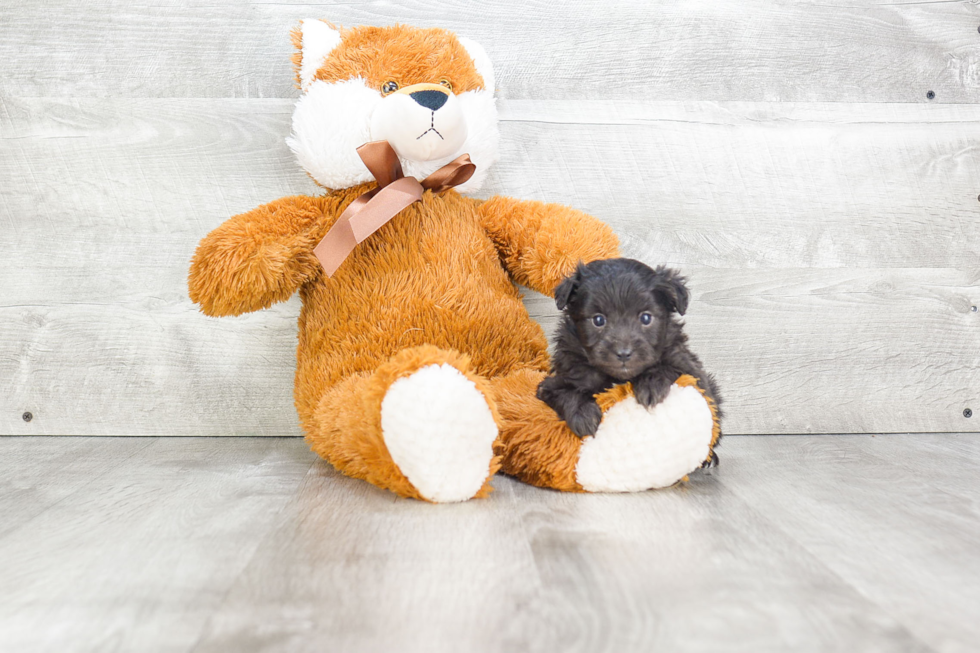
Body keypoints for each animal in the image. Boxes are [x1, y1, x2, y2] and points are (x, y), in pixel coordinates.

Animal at [536, 262, 720, 440]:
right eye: (598, 320)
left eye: (646, 318)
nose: (623, 353)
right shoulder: (553, 383)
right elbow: (566, 392)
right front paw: (583, 415)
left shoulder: (692, 370)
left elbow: (671, 368)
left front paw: (650, 384)